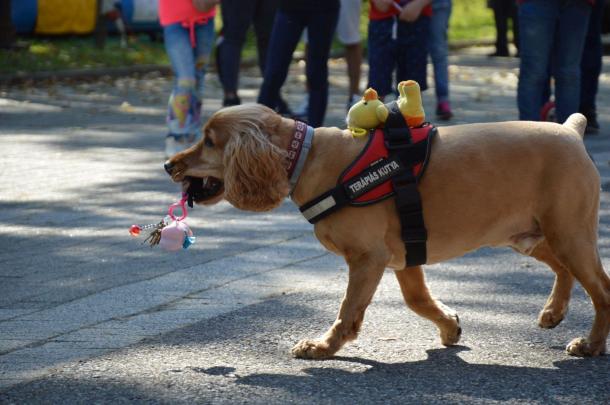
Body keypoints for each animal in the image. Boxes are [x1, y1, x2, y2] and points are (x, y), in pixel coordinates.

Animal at [163, 102, 608, 358]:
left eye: (209, 141)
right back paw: (553, 312)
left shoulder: (368, 258)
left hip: (568, 233)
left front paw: (323, 347)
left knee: (602, 290)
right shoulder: (405, 258)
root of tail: (570, 131)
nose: (168, 164)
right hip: (530, 236)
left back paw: (591, 345)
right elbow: (418, 301)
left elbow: (348, 309)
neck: (309, 158)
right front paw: (450, 325)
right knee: (564, 270)